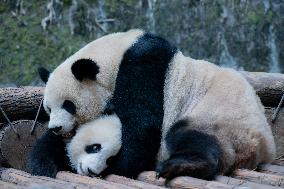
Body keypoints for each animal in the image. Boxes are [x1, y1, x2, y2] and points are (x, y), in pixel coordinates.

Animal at [30, 28, 276, 179]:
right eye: (49, 108)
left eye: (68, 105)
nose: (56, 127)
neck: (114, 56)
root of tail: (263, 147)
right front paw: (44, 163)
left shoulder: (142, 67)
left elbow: (142, 125)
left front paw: (121, 165)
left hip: (220, 118)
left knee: (190, 135)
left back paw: (185, 164)